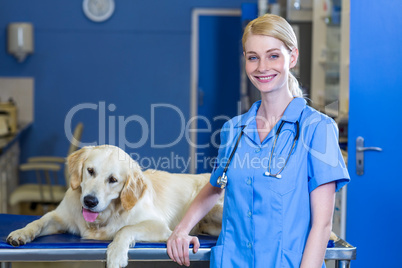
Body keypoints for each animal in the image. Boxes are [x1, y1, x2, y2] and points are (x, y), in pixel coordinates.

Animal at [6, 146, 223, 266]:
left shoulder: (159, 225)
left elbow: (125, 229)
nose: (89, 201)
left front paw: (116, 254)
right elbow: (39, 221)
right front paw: (20, 233)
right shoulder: (60, 217)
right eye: (90, 171)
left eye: (113, 180)